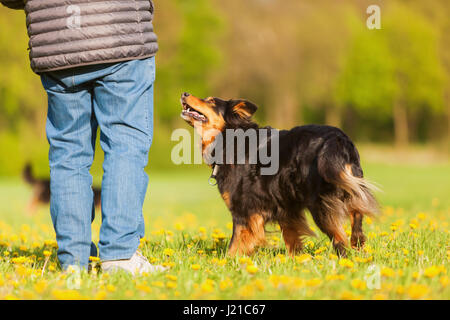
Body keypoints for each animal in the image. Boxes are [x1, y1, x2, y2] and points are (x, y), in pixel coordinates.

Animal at [181, 91, 378, 256]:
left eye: (211, 101)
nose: (184, 93)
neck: (229, 139)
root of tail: (337, 138)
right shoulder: (285, 208)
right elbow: (292, 239)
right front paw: (294, 261)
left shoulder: (243, 211)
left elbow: (235, 244)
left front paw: (227, 263)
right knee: (356, 224)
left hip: (320, 205)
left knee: (339, 239)